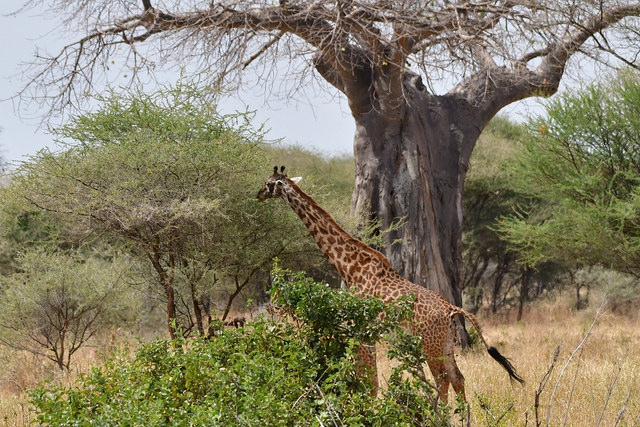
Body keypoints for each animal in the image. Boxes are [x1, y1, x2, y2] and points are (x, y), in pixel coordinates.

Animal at [256, 166, 524, 402]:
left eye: (269, 183)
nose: (257, 194)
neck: (349, 268)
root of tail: (451, 308)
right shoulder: (366, 333)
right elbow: (368, 379)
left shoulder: (359, 329)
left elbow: (370, 382)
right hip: (446, 343)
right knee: (458, 378)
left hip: (430, 344)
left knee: (442, 380)